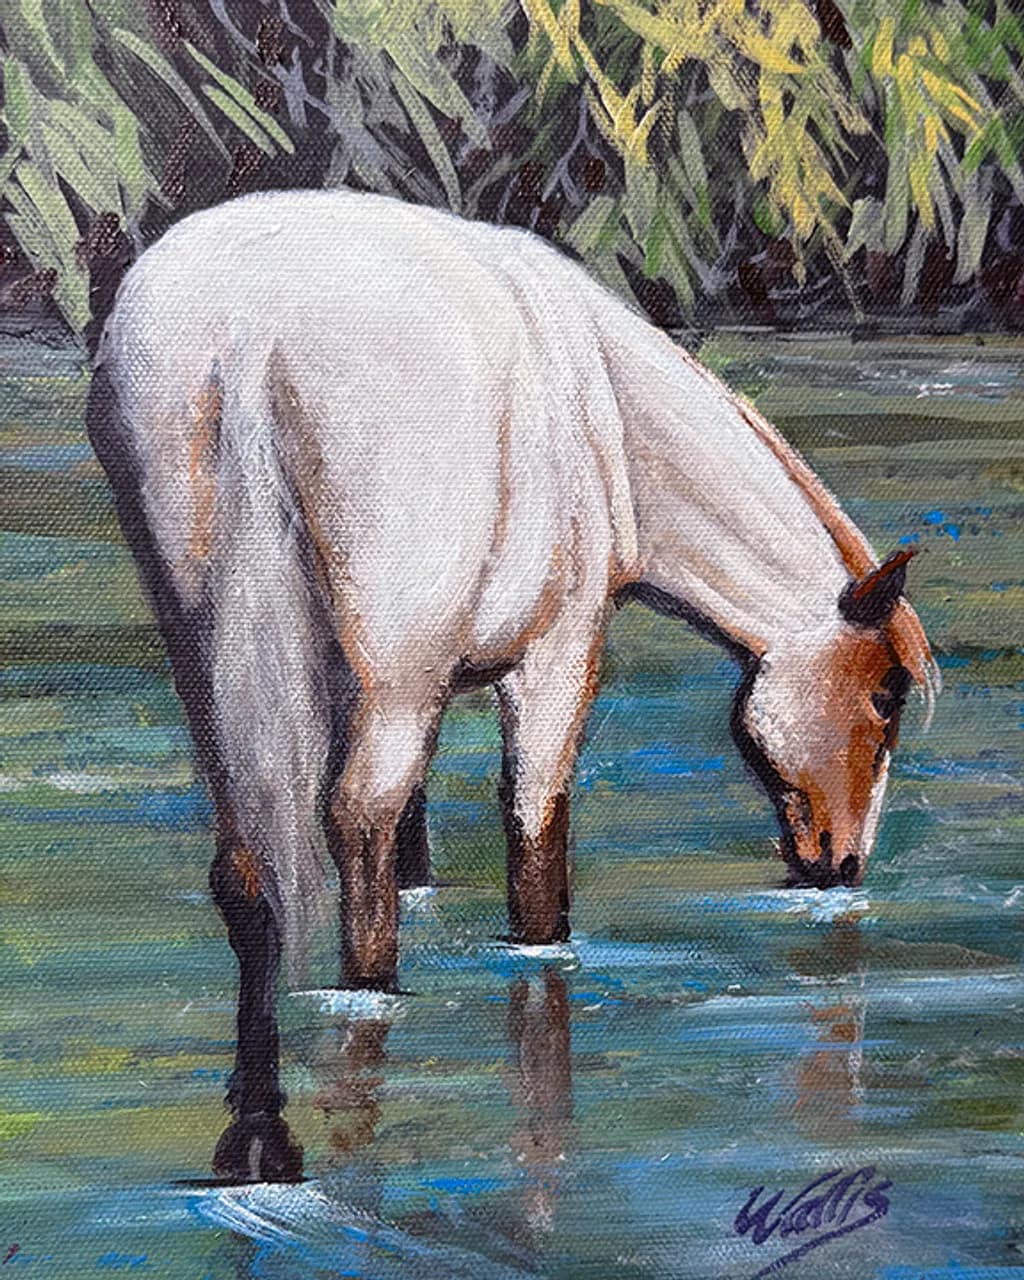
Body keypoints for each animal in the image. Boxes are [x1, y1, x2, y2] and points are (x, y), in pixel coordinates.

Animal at [86, 189, 936, 1181]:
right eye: (886, 694)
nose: (842, 866)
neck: (611, 420)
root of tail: (250, 335)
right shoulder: (553, 656)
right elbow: (534, 843)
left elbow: (408, 850)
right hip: (397, 672)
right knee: (356, 819)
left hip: (210, 652)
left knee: (252, 867)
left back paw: (259, 1137)